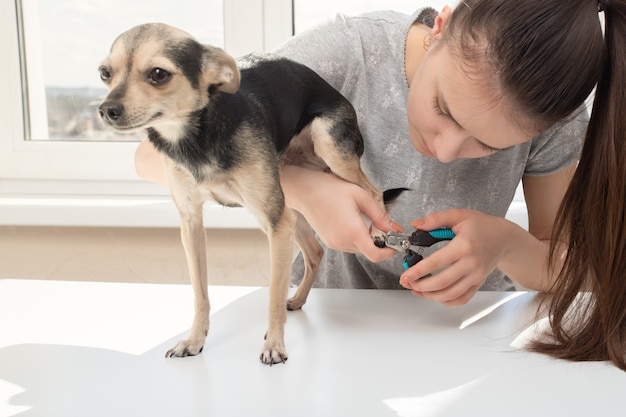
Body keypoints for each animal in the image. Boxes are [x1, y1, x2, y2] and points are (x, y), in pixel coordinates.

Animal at [97, 23, 390, 364]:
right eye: (105, 72)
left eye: (158, 74)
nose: (106, 109)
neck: (197, 137)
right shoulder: (193, 224)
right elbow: (201, 294)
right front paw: (194, 340)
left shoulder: (277, 223)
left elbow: (272, 296)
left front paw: (274, 345)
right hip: (288, 203)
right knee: (315, 251)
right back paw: (298, 299)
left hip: (328, 151)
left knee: (373, 192)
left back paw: (378, 232)